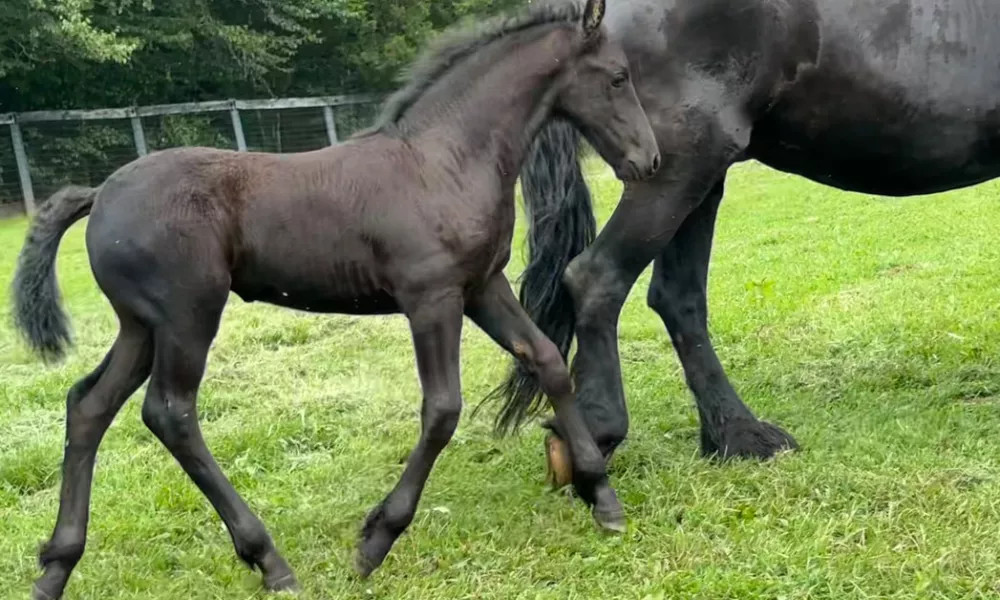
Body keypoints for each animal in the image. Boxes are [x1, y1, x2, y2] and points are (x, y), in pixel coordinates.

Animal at [492, 0, 1000, 486]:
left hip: (696, 177)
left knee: (676, 298)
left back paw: (735, 435)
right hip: (678, 166)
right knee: (597, 277)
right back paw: (604, 431)